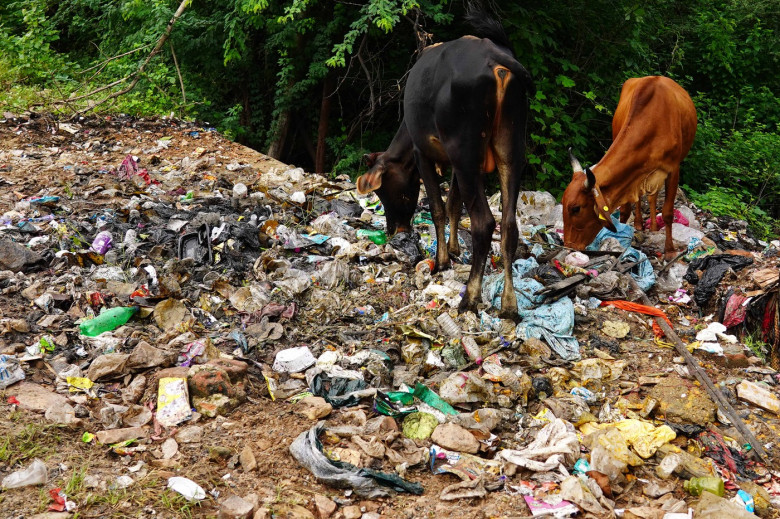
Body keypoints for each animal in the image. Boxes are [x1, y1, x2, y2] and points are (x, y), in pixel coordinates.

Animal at [356, 14, 532, 318]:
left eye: (384, 190)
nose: (394, 230)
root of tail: (496, 57)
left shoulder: (423, 154)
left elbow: (438, 209)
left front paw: (441, 261)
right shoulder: (455, 165)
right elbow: (453, 205)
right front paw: (454, 249)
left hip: (465, 151)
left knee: (484, 223)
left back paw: (470, 297)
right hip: (509, 149)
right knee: (509, 225)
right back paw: (509, 304)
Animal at [564, 75, 696, 260]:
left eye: (576, 208)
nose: (568, 246)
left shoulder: (673, 169)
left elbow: (668, 213)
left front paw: (670, 250)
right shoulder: (630, 177)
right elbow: (626, 210)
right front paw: (620, 240)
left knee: (652, 197)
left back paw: (653, 227)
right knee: (641, 198)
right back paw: (639, 224)